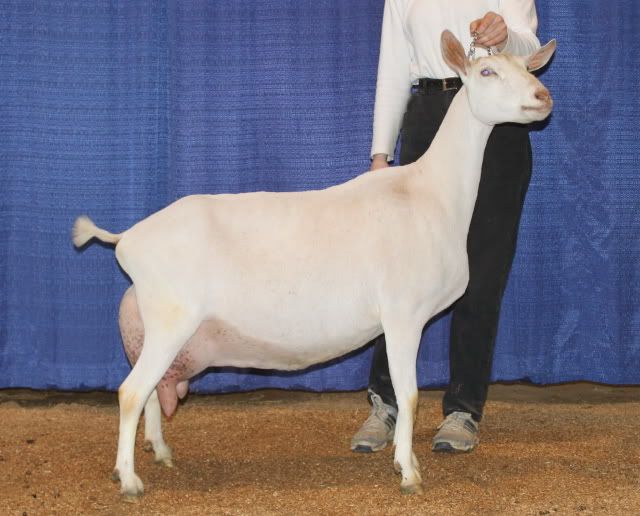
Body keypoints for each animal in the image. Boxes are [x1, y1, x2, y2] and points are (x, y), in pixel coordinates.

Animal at [72, 31, 556, 496]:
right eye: (488, 71)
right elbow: (410, 395)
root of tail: (127, 238)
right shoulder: (403, 314)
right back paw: (130, 481)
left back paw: (160, 453)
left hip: (159, 328)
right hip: (171, 318)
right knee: (131, 391)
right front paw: (409, 473)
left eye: (526, 67)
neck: (431, 193)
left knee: (152, 391)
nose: (543, 96)